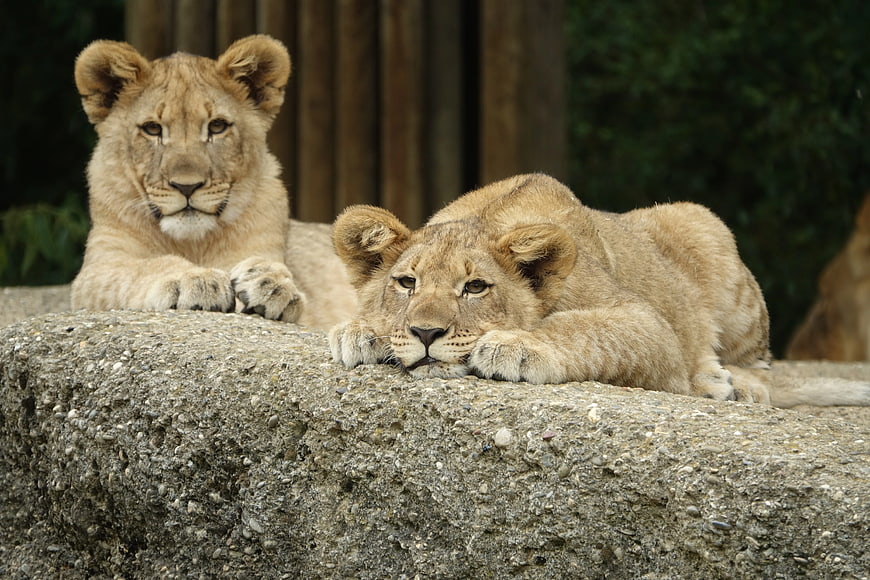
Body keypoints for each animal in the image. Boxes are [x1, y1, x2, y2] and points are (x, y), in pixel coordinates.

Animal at [70, 35, 355, 329]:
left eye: (217, 127)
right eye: (152, 128)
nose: (186, 186)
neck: (191, 243)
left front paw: (271, 283)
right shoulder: (97, 270)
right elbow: (142, 267)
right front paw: (194, 279)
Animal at [330, 173, 870, 408]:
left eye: (476, 286)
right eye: (407, 282)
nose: (425, 333)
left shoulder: (647, 324)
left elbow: (582, 329)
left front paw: (514, 347)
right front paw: (358, 332)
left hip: (705, 230)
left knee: (761, 367)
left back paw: (729, 384)